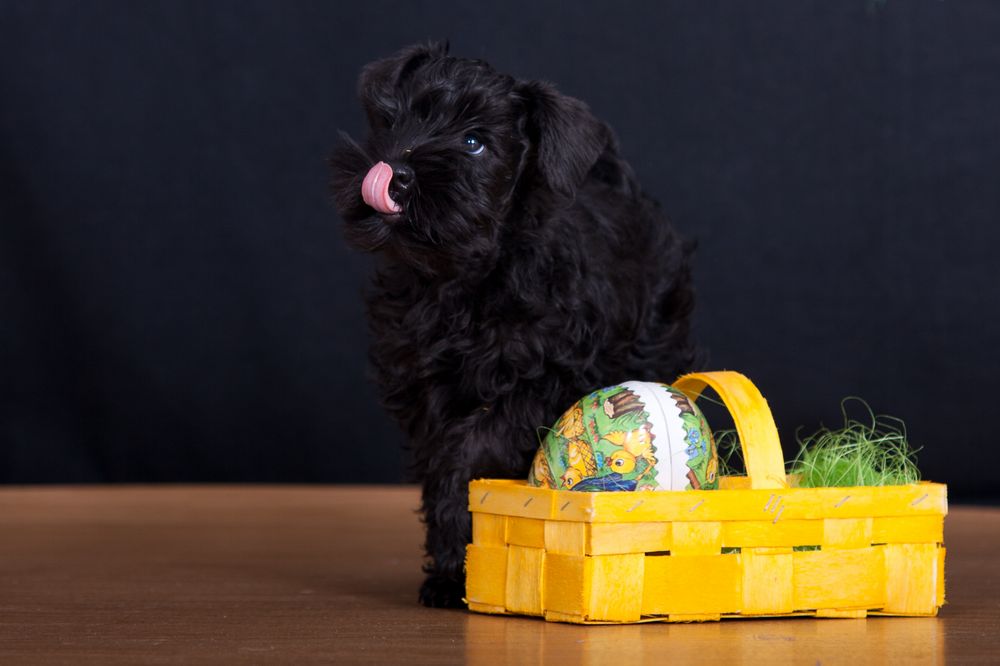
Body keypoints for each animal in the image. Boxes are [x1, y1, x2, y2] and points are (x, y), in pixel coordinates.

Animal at [332, 42, 692, 608]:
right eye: (394, 120)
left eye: (475, 143)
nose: (398, 171)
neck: (464, 276)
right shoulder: (428, 396)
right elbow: (441, 470)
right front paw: (452, 567)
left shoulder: (532, 389)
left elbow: (470, 457)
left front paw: (463, 564)